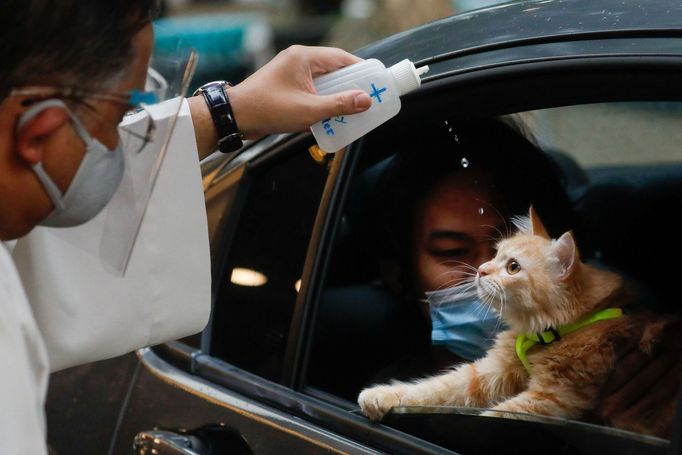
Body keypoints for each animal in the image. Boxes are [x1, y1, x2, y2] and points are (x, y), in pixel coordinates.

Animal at [358, 208, 668, 436]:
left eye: (513, 267)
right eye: (496, 255)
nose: (481, 270)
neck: (546, 333)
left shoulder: (553, 398)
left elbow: (491, 417)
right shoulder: (489, 372)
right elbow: (435, 388)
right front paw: (383, 395)